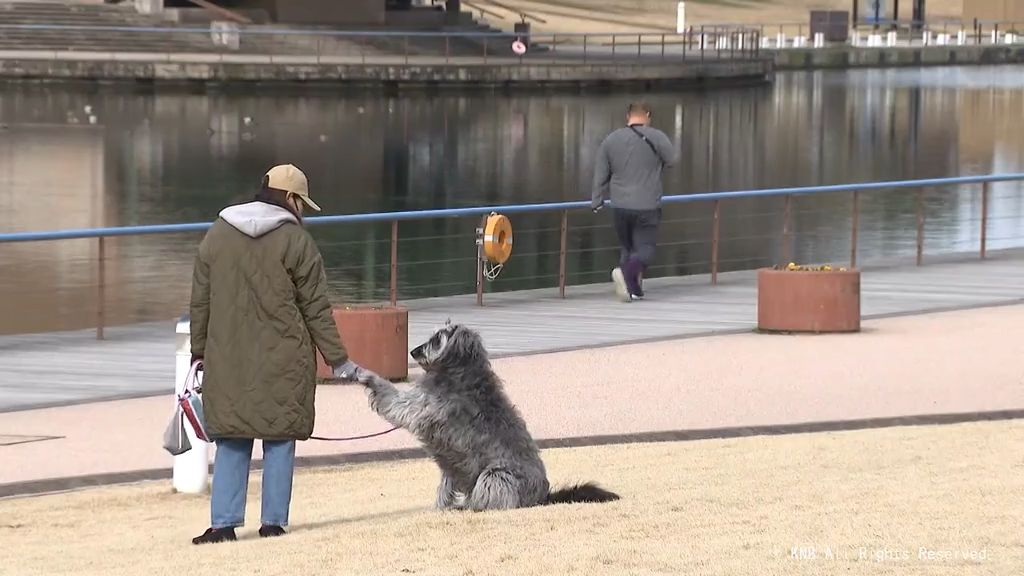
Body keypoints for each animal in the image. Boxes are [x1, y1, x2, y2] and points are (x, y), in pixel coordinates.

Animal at [356, 319, 618, 508]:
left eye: (438, 339)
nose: (413, 352)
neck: (461, 372)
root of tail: (543, 497)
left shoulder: (423, 407)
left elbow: (396, 403)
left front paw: (368, 376)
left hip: (496, 475)